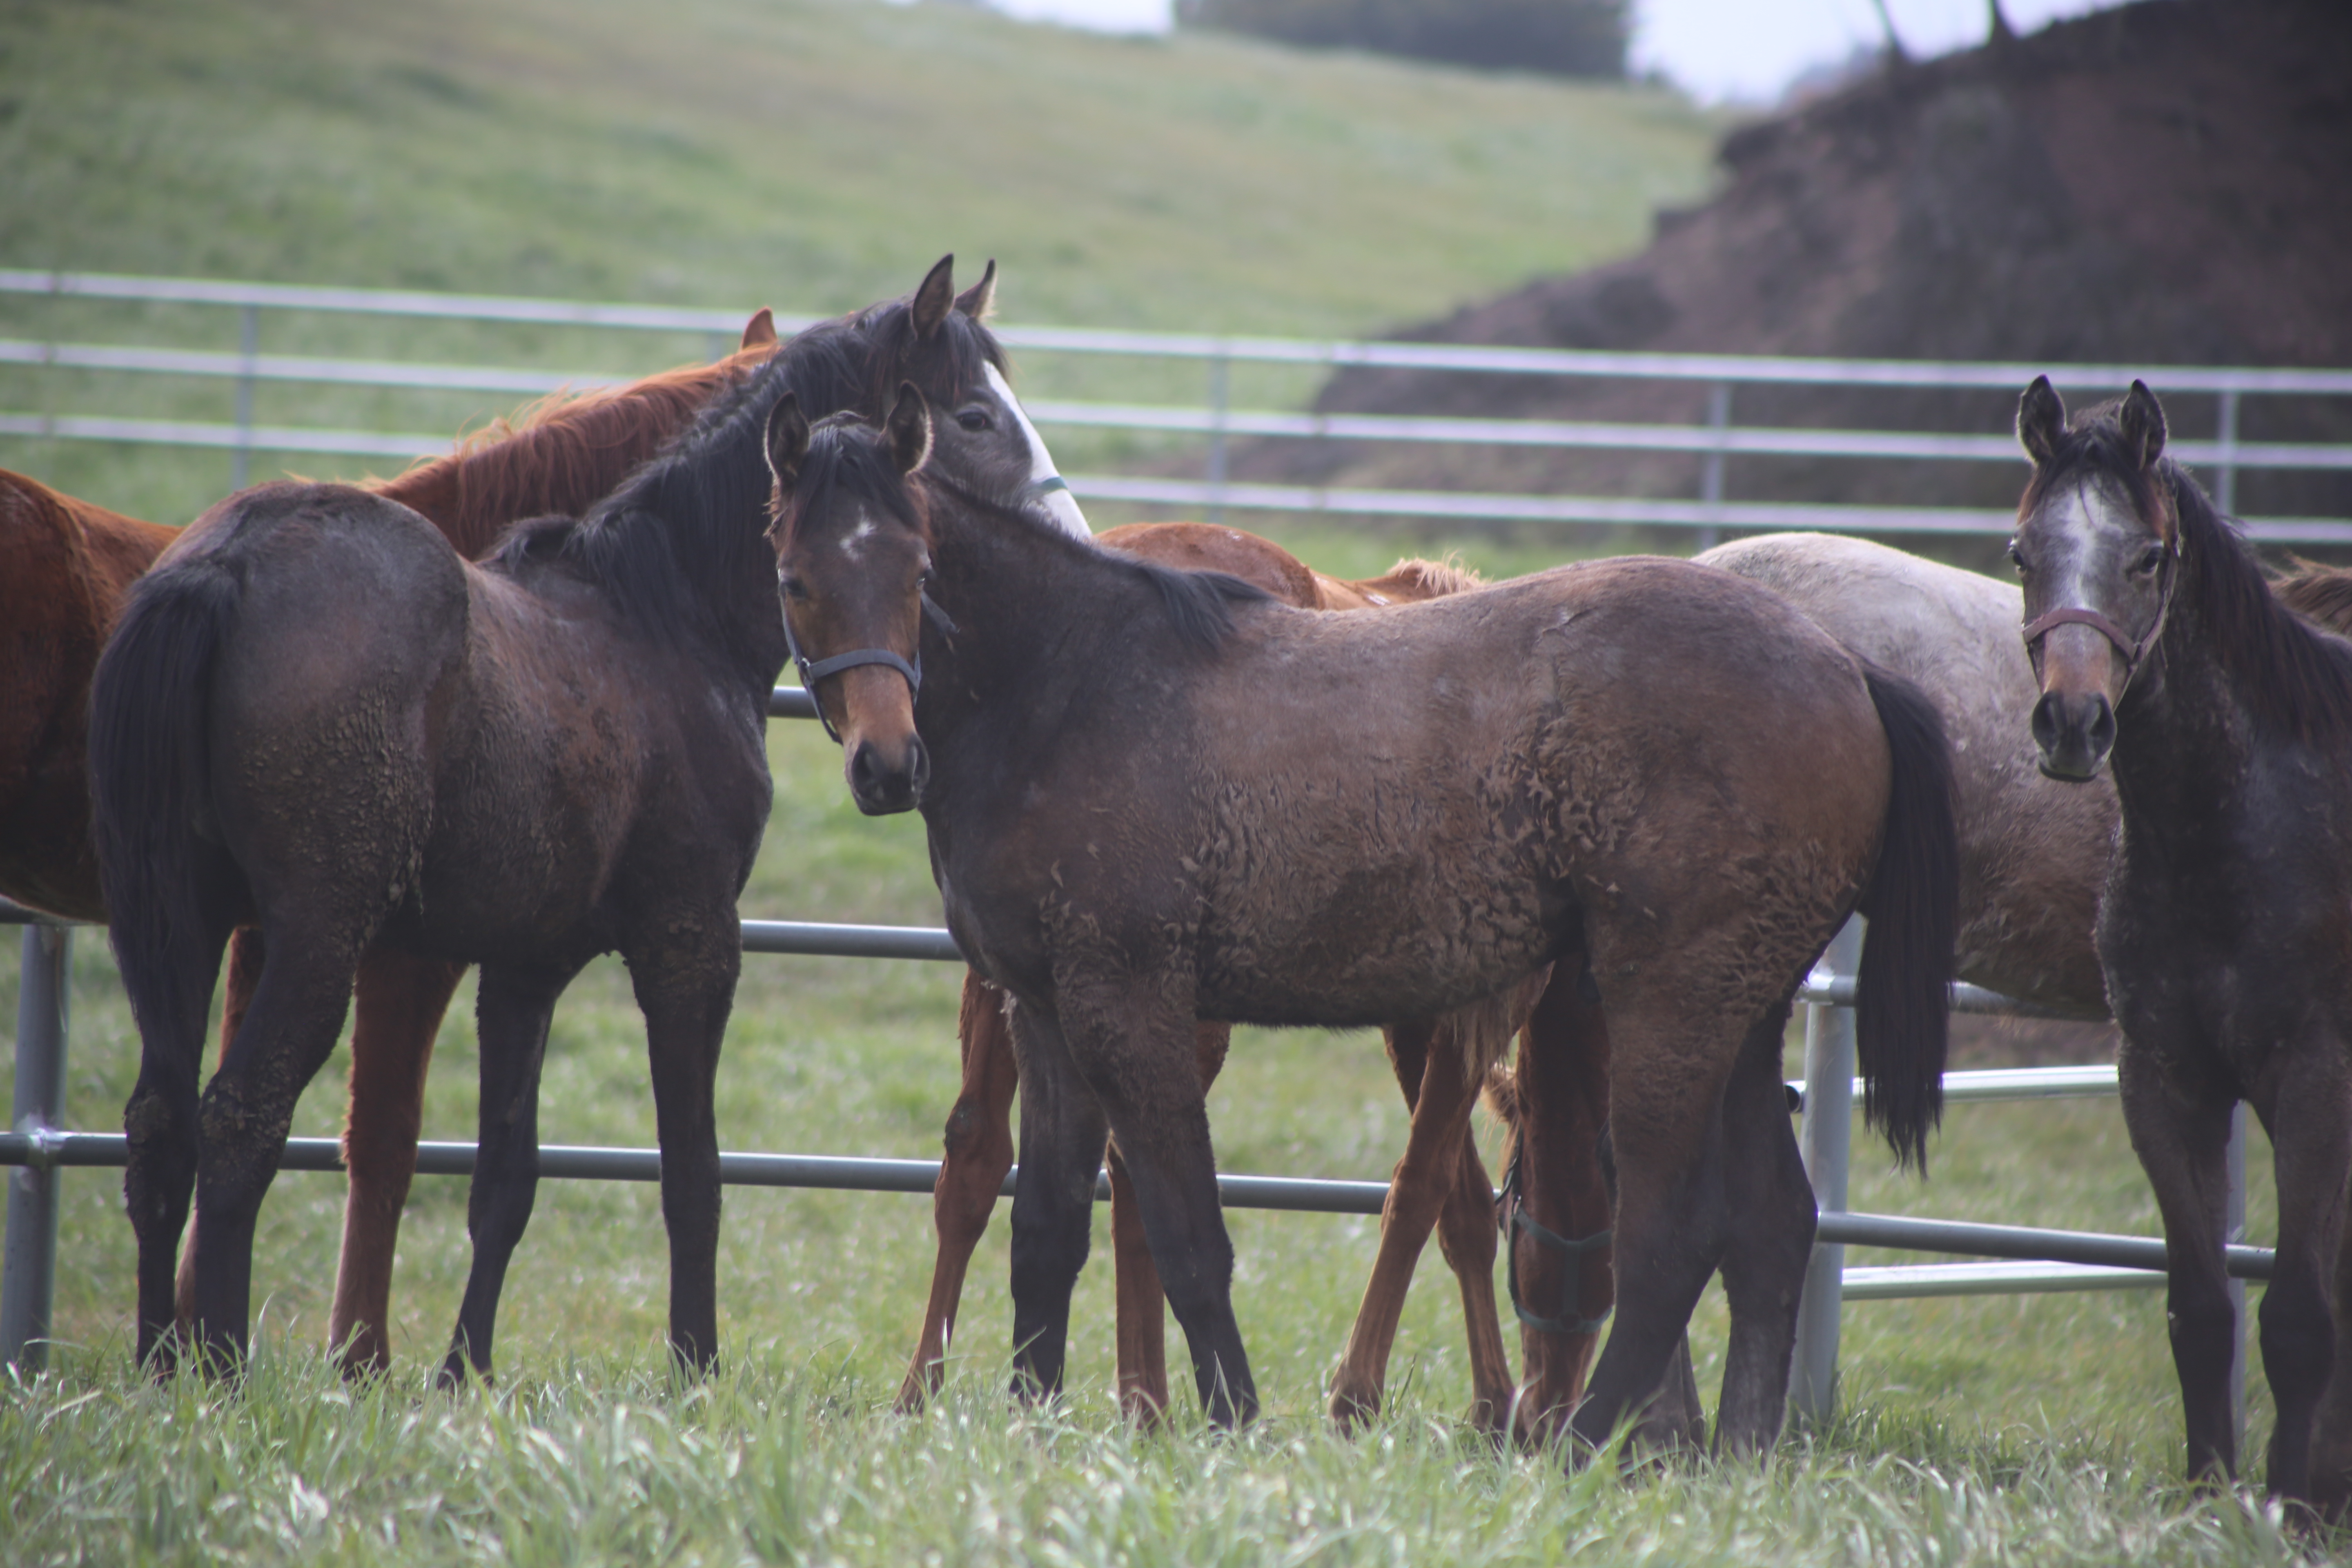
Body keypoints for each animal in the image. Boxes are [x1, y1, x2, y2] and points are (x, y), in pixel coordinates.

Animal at [80, 255, 1058, 1373]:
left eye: (915, 569)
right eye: (976, 416)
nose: (890, 766)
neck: (656, 611)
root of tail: (225, 563)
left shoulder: (524, 963)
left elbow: (507, 1179)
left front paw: (463, 1372)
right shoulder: (689, 941)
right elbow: (692, 1175)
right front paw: (694, 1368)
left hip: (178, 922)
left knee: (160, 1127)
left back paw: (161, 1364)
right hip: (315, 934)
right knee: (242, 1122)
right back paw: (220, 1371)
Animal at [766, 399, 1947, 1457]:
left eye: (919, 574)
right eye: (795, 581)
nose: (884, 765)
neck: (1072, 683)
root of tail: (1846, 667)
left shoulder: (1130, 1003)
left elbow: (1190, 1231)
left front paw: (1232, 1425)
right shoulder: (1046, 1008)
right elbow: (1047, 1227)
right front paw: (1032, 1429)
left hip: (1672, 1010)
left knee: (1670, 1237)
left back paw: (1582, 1448)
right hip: (1738, 1017)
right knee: (1771, 1226)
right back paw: (1737, 1454)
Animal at [2013, 376, 2352, 1504]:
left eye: (2147, 558)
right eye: (2022, 552)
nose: (2072, 723)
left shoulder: (2317, 1083)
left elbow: (2297, 1318)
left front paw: (2288, 1509)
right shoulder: (2163, 1082)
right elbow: (2199, 1311)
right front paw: (2210, 1499)